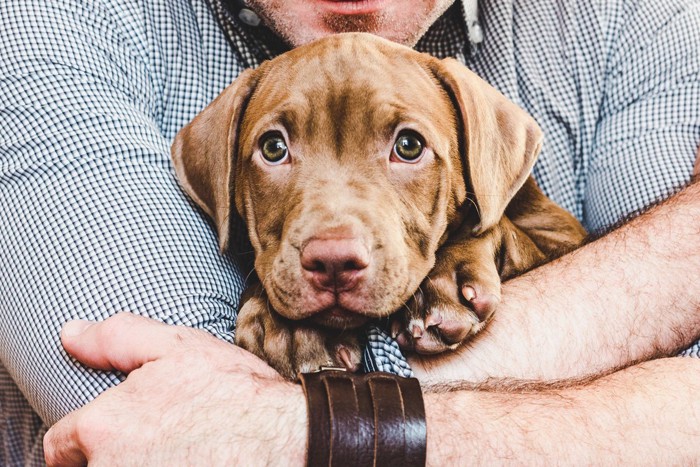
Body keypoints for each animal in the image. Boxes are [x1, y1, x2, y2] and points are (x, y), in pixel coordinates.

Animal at [170, 33, 584, 384]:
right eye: (273, 148)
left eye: (409, 146)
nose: (333, 261)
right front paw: (290, 327)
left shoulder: (559, 232)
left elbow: (498, 227)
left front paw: (444, 282)